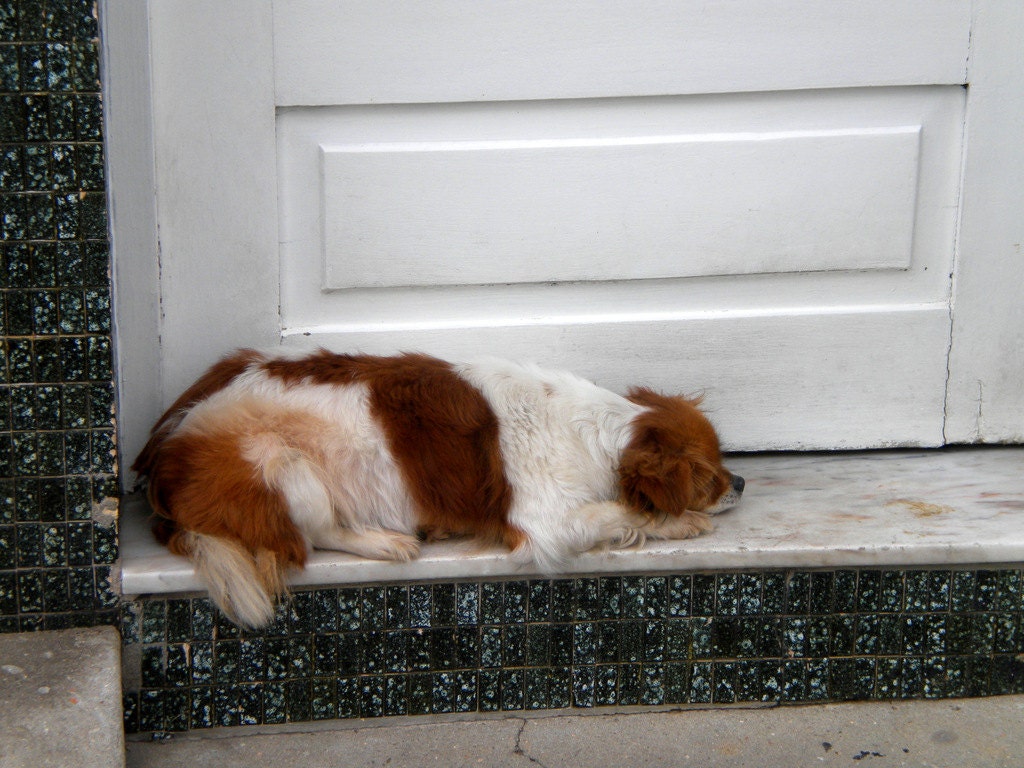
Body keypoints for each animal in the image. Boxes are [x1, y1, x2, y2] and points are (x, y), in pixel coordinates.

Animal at [134, 352, 745, 626]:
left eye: (722, 460)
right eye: (708, 473)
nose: (740, 480)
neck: (598, 432)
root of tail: (165, 455)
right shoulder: (546, 524)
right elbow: (624, 513)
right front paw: (680, 520)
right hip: (281, 462)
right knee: (314, 537)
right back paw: (386, 541)